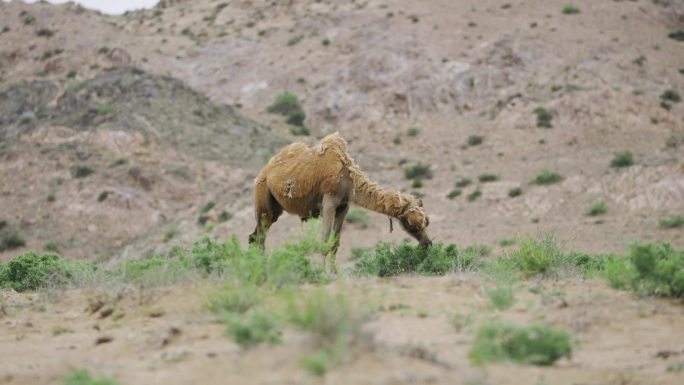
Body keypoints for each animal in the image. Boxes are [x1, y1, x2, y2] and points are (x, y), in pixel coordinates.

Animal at [248, 134, 430, 272]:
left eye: (426, 222)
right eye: (411, 224)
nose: (427, 243)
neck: (348, 179)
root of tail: (262, 173)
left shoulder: (344, 206)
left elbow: (335, 242)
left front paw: (334, 272)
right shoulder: (328, 203)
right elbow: (325, 239)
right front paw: (323, 273)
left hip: (274, 208)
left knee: (255, 236)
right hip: (263, 197)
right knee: (260, 236)